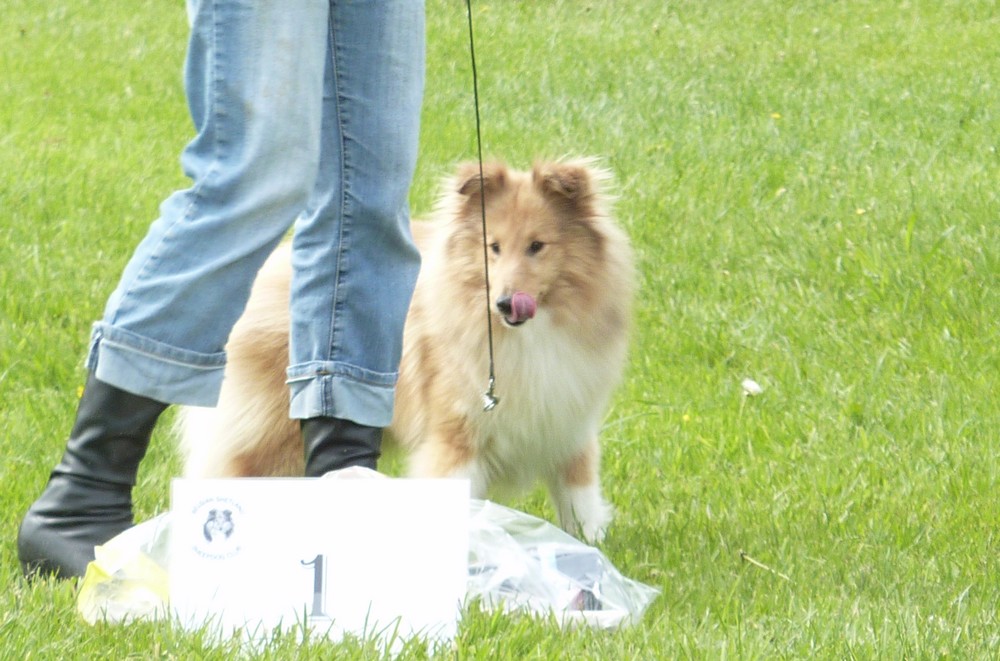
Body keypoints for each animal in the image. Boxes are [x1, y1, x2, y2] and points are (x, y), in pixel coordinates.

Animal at [179, 160, 632, 540]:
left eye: (537, 246)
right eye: (494, 247)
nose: (506, 303)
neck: (526, 337)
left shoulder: (567, 422)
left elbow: (579, 494)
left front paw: (592, 546)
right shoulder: (455, 435)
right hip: (272, 434)